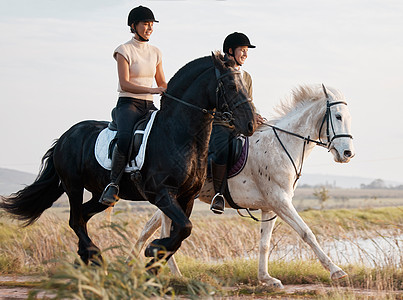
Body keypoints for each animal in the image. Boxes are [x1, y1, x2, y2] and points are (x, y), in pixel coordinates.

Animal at [0, 51, 256, 264]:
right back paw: (94, 255)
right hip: (73, 185)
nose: (251, 124)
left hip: (100, 193)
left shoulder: (187, 198)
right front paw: (153, 249)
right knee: (75, 219)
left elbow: (182, 232)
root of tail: (65, 136)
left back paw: (87, 256)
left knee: (83, 215)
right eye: (231, 85)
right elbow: (184, 228)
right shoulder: (160, 193)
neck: (178, 135)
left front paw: (155, 259)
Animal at [134, 84, 356, 288]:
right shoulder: (281, 202)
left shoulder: (270, 207)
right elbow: (306, 233)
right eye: (337, 117)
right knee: (164, 231)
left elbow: (264, 243)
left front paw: (266, 278)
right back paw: (171, 274)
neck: (281, 145)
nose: (348, 154)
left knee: (150, 229)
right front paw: (336, 271)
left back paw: (136, 263)